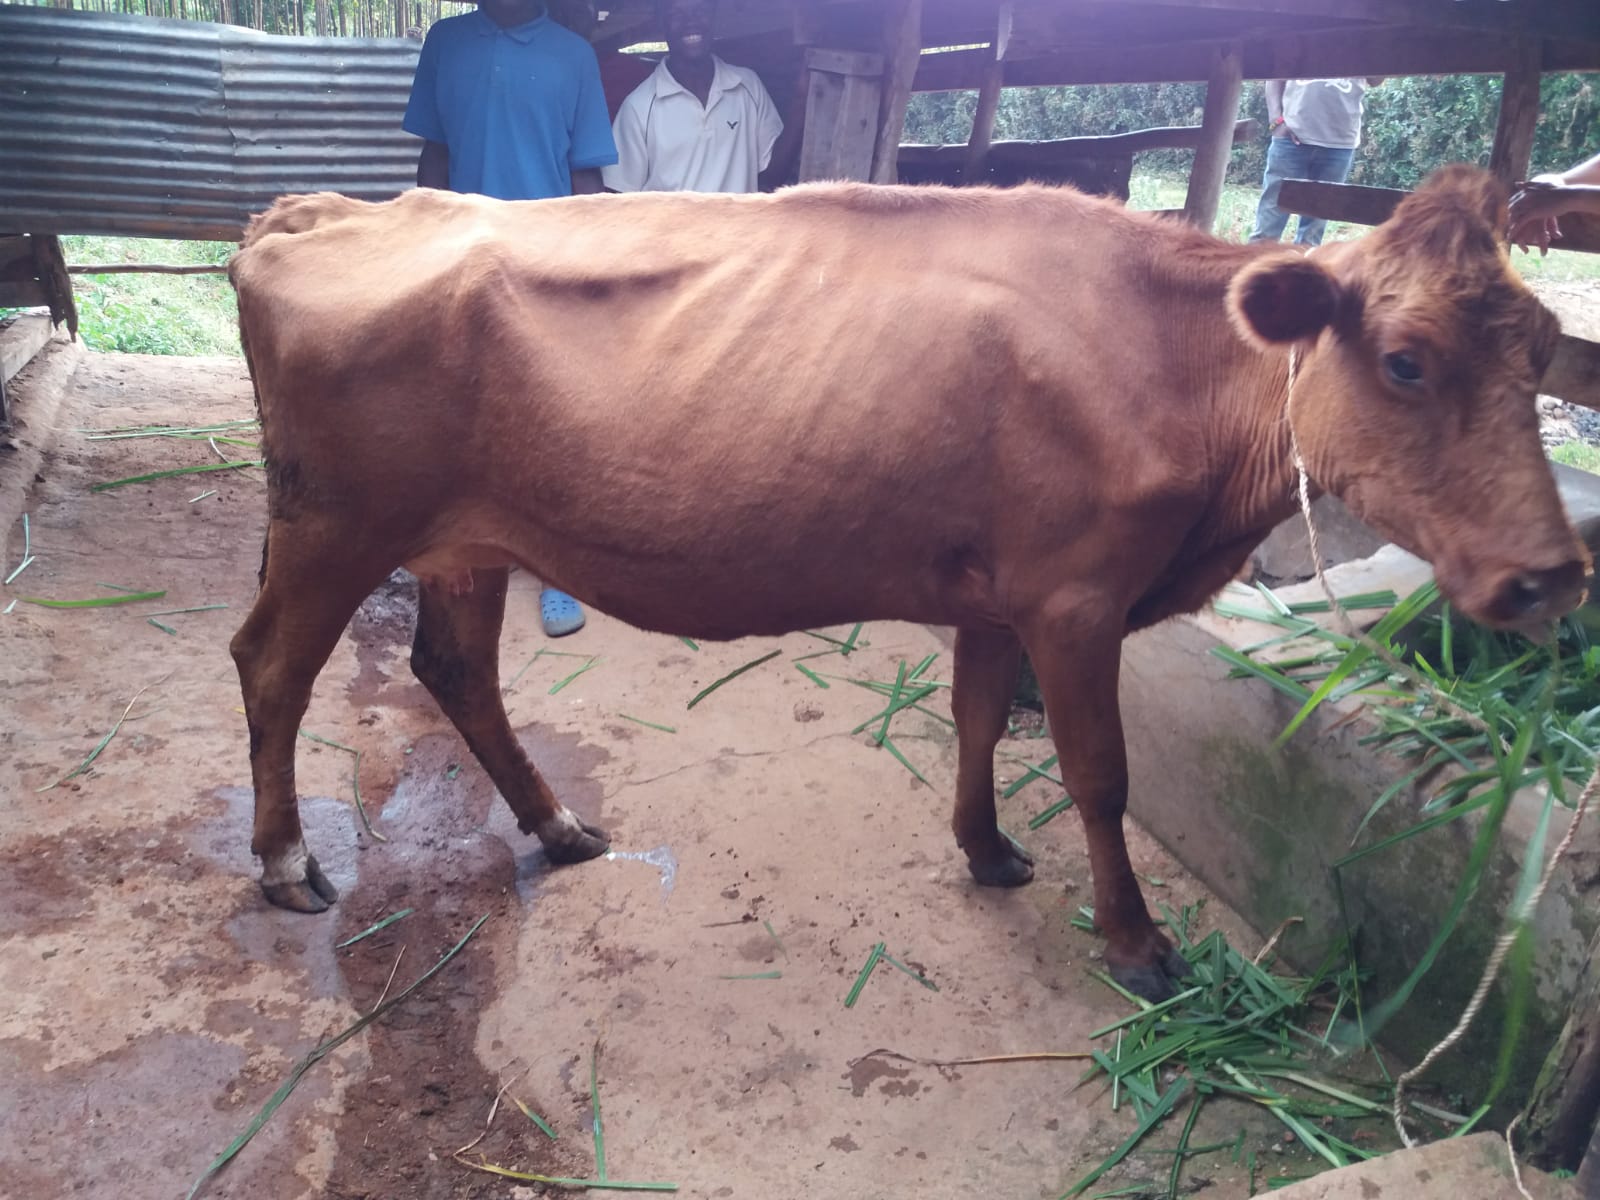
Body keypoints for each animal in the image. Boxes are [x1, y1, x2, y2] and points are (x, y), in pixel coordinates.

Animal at [228, 165, 1588, 1001]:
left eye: (1540, 351)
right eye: (1405, 361)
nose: (1552, 576)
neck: (1173, 363)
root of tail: (319, 210)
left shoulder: (1001, 591)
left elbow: (977, 717)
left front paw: (984, 850)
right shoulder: (1079, 597)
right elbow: (1098, 776)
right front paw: (1140, 944)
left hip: (462, 541)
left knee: (453, 668)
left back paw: (558, 828)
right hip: (332, 523)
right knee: (270, 664)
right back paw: (287, 863)